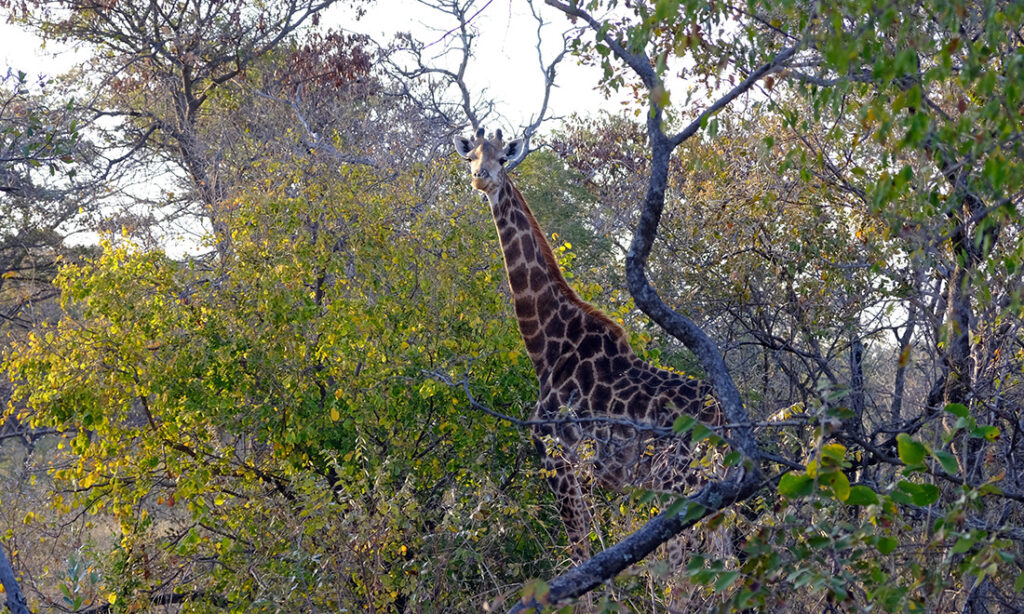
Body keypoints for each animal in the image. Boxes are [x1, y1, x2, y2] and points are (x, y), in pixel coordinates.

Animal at [452, 126, 724, 560]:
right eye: (470, 156)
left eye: (502, 158)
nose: (481, 178)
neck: (546, 346)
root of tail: (723, 418)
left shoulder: (556, 454)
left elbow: (580, 546)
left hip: (680, 479)